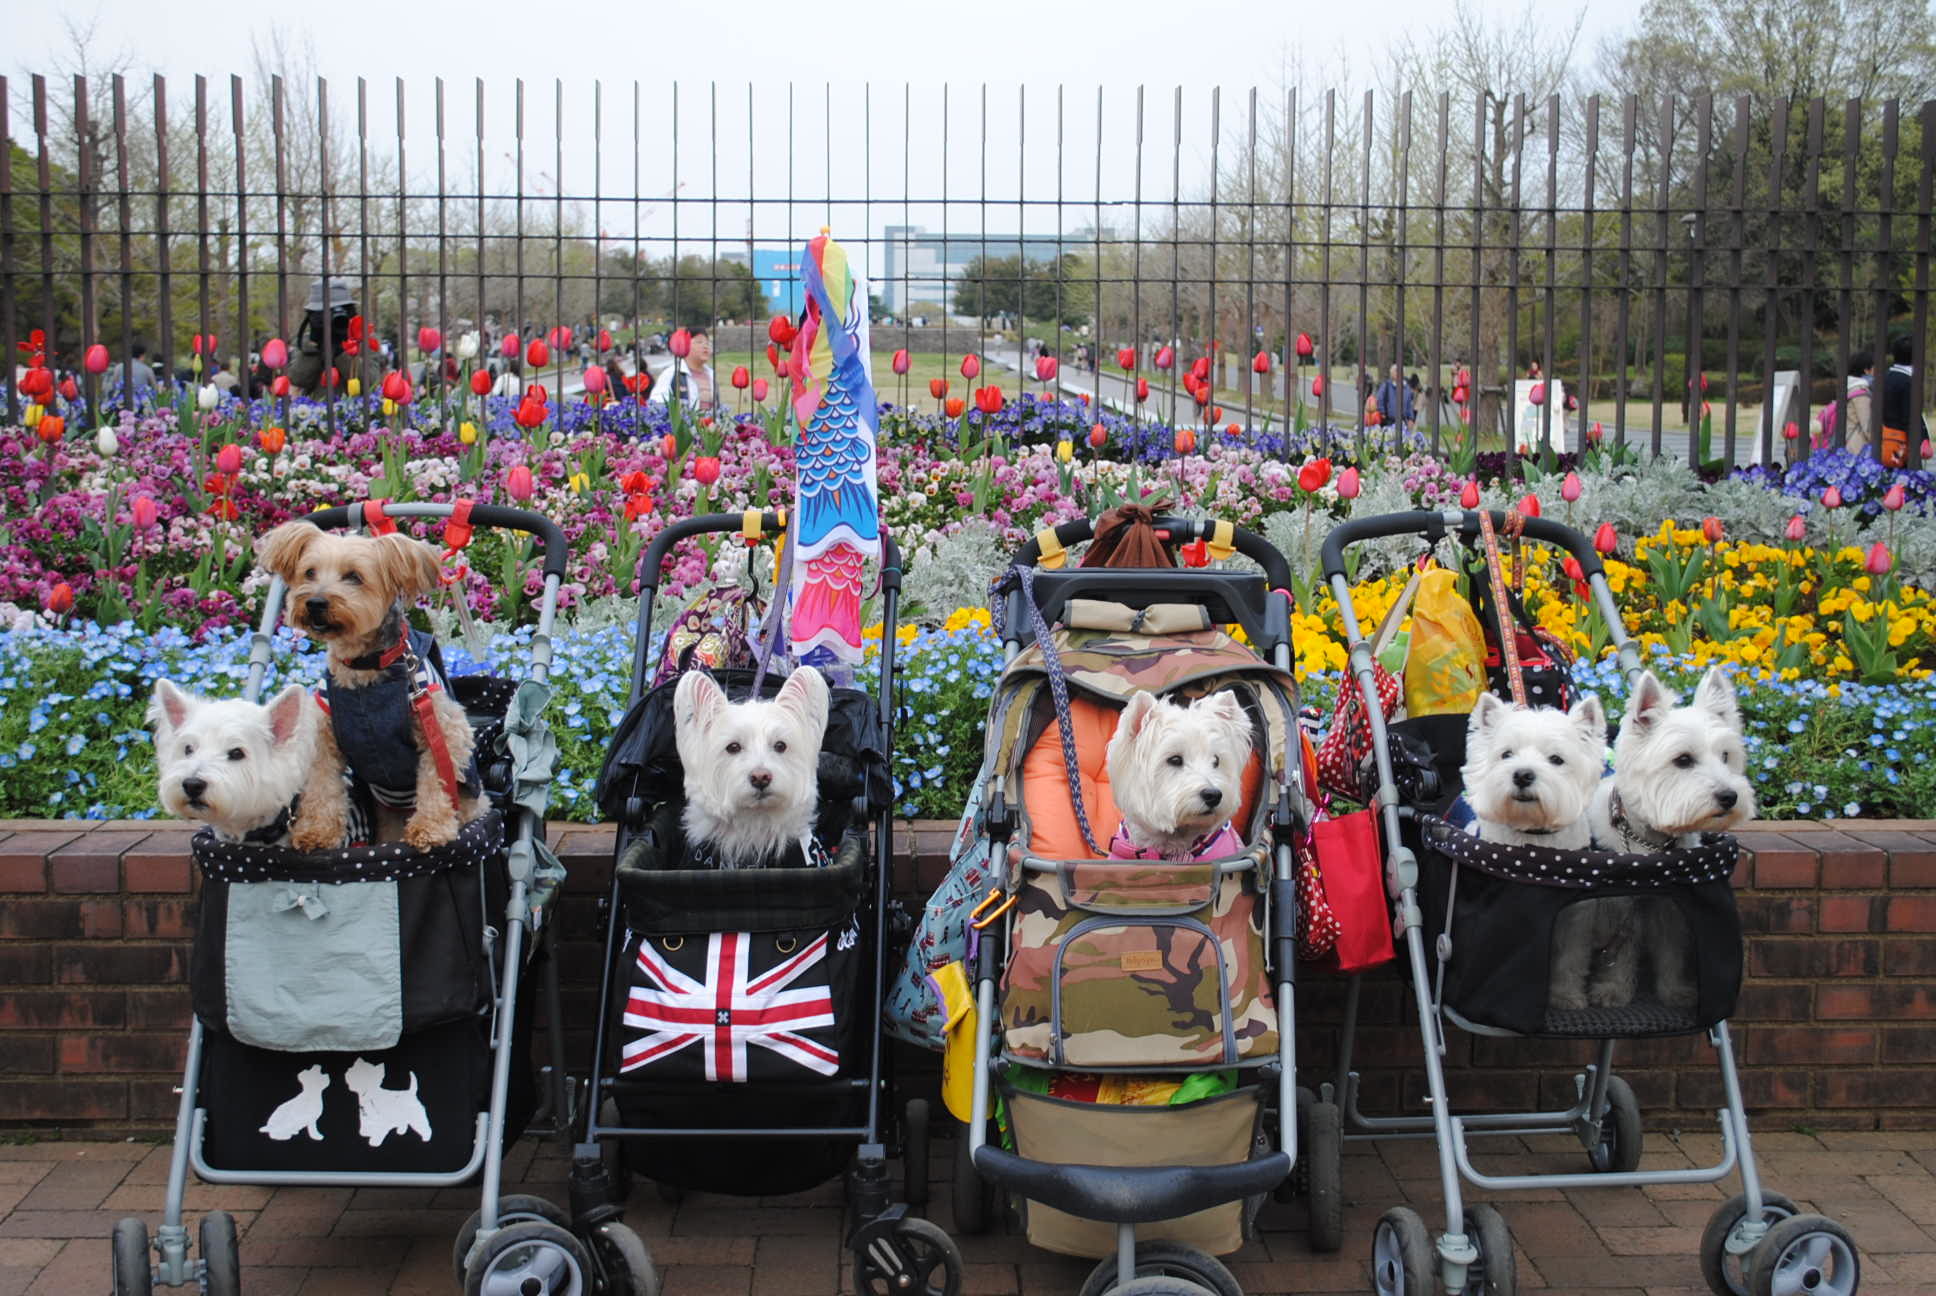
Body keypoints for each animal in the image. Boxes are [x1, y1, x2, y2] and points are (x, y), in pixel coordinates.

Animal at [255, 519, 482, 852]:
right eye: (309, 572)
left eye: (354, 576)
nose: (315, 602)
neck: (364, 669)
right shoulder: (323, 737)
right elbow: (322, 786)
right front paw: (316, 833)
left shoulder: (443, 730)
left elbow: (436, 778)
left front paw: (429, 829)